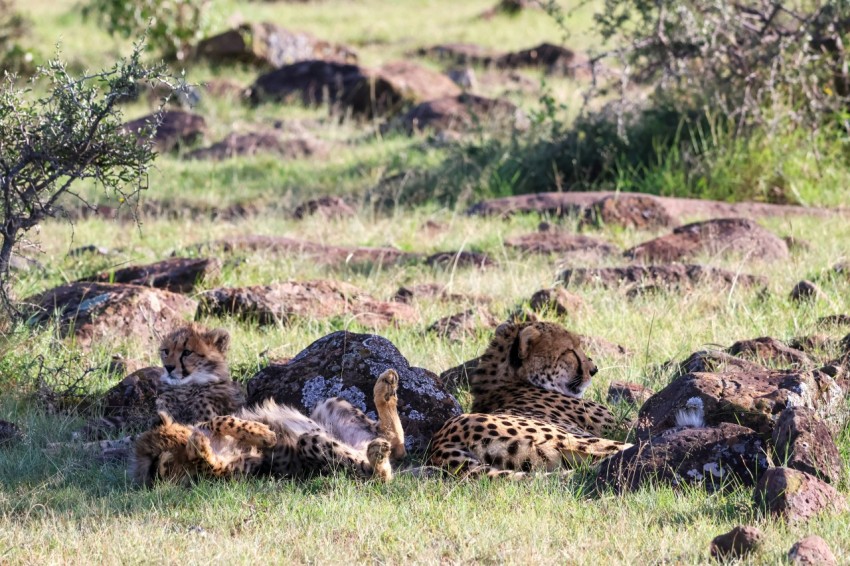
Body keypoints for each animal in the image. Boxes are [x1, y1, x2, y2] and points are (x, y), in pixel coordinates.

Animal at [131, 370, 406, 486]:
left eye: (184, 432)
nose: (196, 437)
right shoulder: (242, 468)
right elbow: (212, 464)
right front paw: (200, 448)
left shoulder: (206, 422)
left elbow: (219, 420)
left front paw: (262, 433)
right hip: (312, 442)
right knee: (380, 472)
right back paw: (377, 455)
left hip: (329, 404)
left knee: (395, 442)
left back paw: (385, 387)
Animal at [430, 322, 628, 478]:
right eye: (569, 351)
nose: (594, 370)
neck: (507, 381)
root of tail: (442, 443)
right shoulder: (612, 427)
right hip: (578, 440)